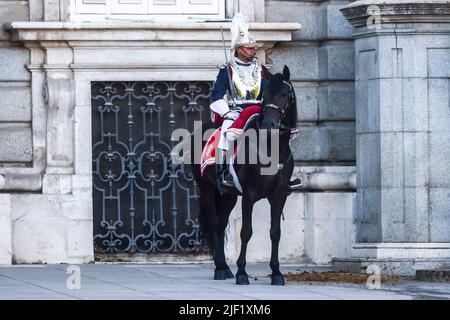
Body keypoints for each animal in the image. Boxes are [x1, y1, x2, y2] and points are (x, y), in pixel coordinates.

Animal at [192, 65, 298, 284]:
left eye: (284, 94)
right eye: (266, 95)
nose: (268, 125)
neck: (273, 148)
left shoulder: (279, 196)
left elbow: (275, 232)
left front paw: (277, 273)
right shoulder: (249, 195)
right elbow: (246, 232)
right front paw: (242, 272)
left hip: (229, 195)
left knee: (221, 223)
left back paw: (224, 268)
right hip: (207, 189)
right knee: (214, 223)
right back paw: (221, 268)